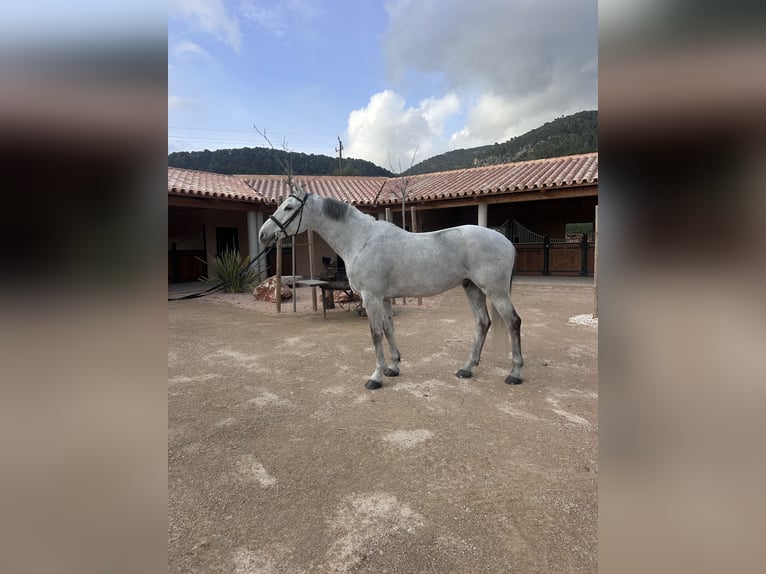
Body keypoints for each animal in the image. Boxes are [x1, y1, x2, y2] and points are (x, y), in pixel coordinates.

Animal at [258, 184, 523, 390]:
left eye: (288, 207)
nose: (263, 234)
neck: (361, 240)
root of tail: (505, 241)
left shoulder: (371, 297)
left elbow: (375, 334)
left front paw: (375, 377)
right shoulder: (384, 299)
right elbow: (388, 330)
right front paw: (393, 367)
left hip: (496, 292)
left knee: (513, 322)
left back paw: (515, 373)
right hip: (472, 288)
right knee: (482, 323)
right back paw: (467, 368)